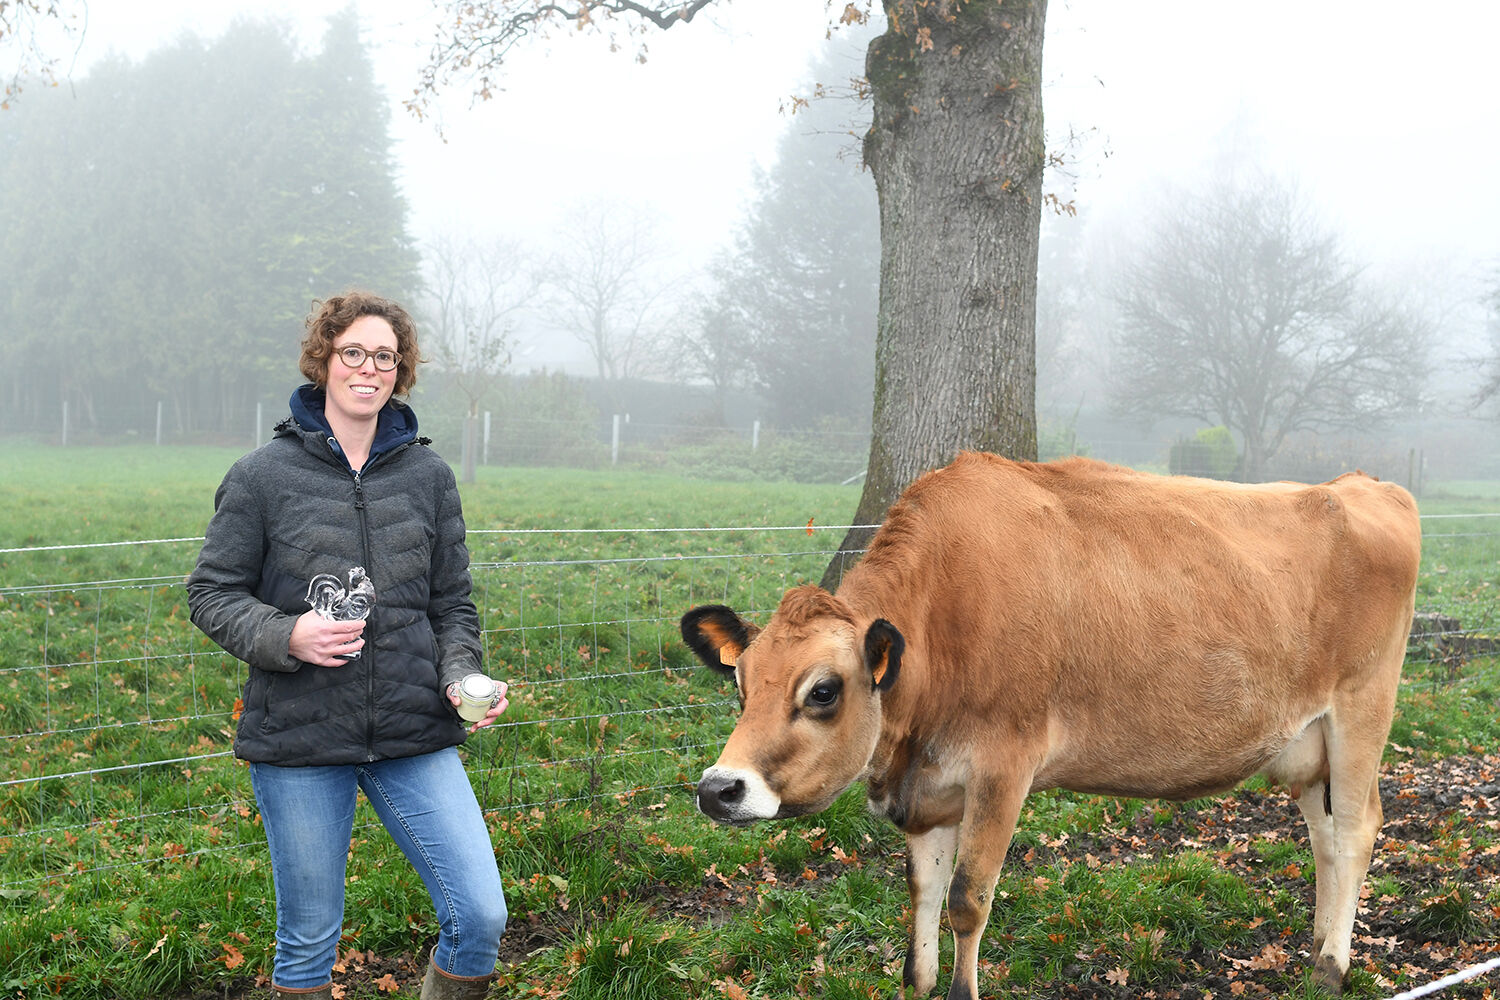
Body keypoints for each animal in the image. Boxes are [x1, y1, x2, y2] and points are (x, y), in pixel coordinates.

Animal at [681, 452, 1420, 1000]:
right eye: (740, 683)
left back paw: (1331, 967)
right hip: (1305, 742)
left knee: (1355, 830)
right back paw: (1318, 952)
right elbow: (921, 898)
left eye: (824, 691)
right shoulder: (929, 789)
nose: (718, 789)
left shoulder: (1003, 764)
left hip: (1362, 709)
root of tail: (1363, 484)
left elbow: (966, 900)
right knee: (1324, 836)